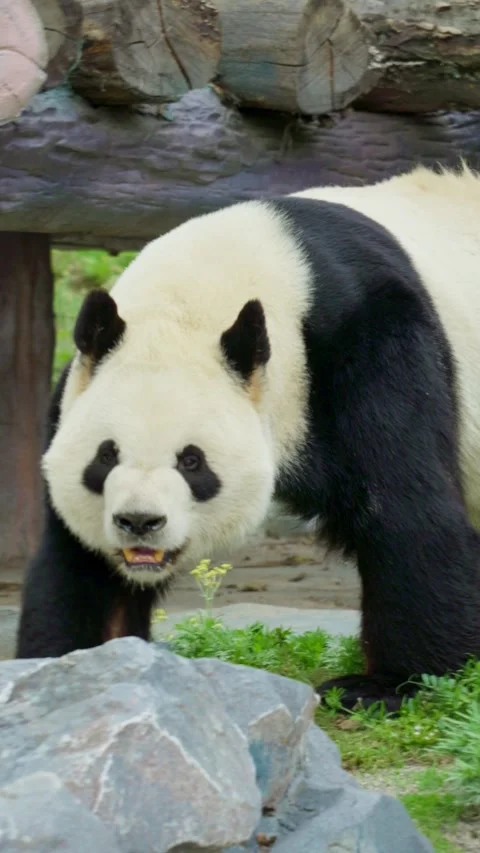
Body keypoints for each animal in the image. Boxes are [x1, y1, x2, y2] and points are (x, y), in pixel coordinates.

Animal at [16, 164, 480, 712]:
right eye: (106, 456)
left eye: (191, 461)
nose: (140, 522)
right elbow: (81, 564)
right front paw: (72, 667)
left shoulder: (372, 344)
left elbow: (405, 507)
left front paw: (386, 686)